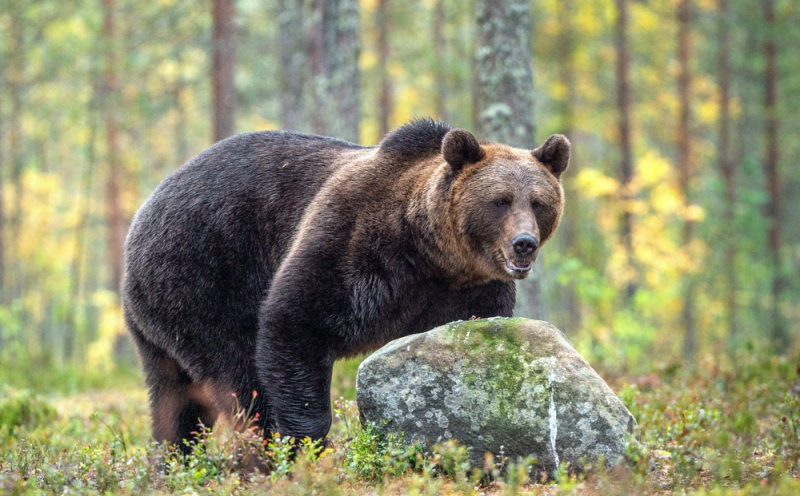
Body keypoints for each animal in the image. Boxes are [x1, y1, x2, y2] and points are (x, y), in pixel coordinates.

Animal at [123, 119, 568, 450]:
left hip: (158, 324)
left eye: (539, 202)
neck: (430, 252)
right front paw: (303, 442)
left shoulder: (467, 290)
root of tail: (143, 212)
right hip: (203, 274)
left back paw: (174, 458)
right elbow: (294, 320)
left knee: (173, 399)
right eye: (500, 200)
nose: (523, 243)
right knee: (236, 371)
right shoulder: (354, 244)